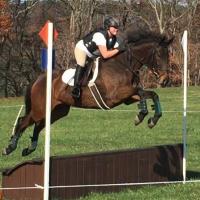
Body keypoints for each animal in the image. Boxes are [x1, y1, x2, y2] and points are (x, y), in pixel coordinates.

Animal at [2, 28, 173, 156]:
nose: (165, 80)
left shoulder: (127, 97)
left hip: (58, 111)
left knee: (38, 125)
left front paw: (152, 119)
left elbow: (151, 94)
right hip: (40, 108)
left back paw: (29, 148)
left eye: (169, 55)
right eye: (159, 55)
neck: (124, 64)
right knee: (23, 121)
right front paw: (141, 115)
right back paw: (9, 147)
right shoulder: (115, 96)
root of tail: (39, 78)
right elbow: (142, 91)